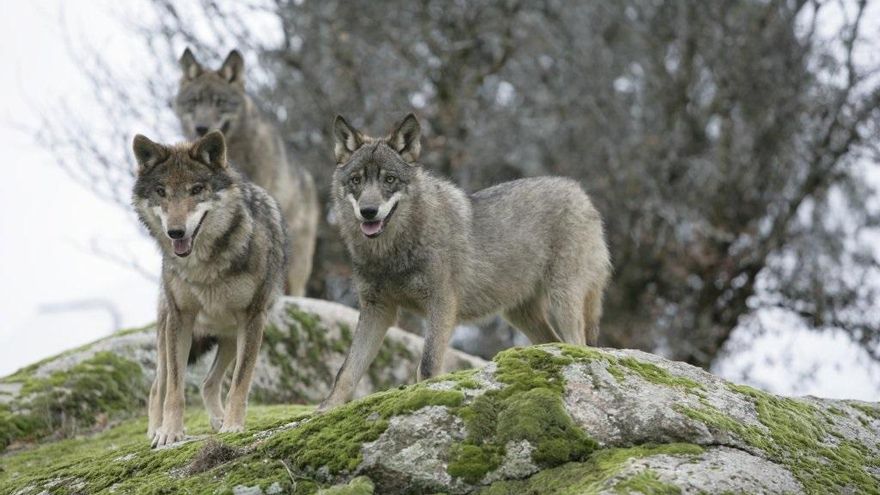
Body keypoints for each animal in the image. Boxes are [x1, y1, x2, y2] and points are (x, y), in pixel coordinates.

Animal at [132, 131, 288, 447]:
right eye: (161, 191)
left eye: (196, 190)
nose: (176, 232)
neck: (204, 266)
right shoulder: (181, 319)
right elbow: (175, 389)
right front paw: (170, 433)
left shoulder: (253, 318)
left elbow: (240, 383)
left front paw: (233, 426)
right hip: (168, 334)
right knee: (158, 387)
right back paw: (155, 430)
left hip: (230, 336)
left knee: (208, 382)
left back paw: (218, 420)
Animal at [320, 114, 611, 409]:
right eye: (356, 180)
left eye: (389, 179)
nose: (368, 212)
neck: (390, 253)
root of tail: (580, 192)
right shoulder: (377, 310)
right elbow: (346, 372)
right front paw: (325, 410)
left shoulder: (441, 304)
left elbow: (427, 366)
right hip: (520, 314)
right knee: (555, 343)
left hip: (562, 299)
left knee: (579, 344)